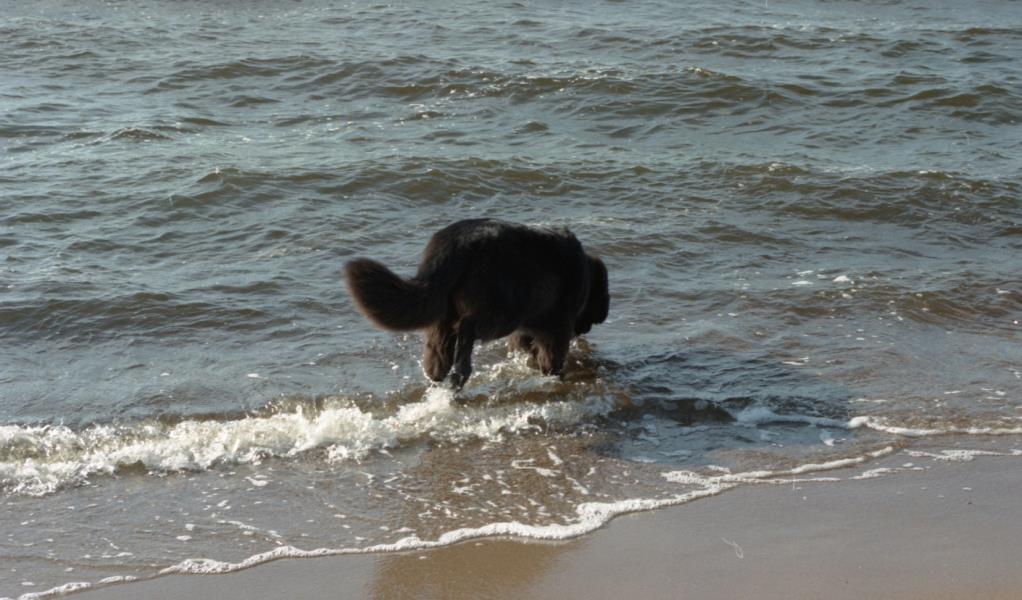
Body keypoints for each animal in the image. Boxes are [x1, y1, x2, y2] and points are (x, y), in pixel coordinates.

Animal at [344, 218, 609, 388]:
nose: (587, 329)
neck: (587, 273)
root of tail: (455, 242)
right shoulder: (557, 326)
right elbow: (552, 356)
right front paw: (555, 375)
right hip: (503, 311)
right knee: (467, 329)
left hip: (444, 312)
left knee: (438, 352)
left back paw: (437, 379)